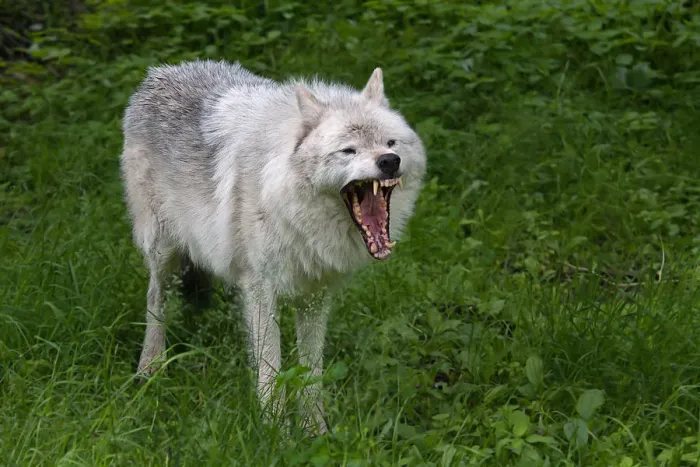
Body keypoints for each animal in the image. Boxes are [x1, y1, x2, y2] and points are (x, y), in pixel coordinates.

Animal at [120, 59, 427, 434]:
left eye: (390, 142)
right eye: (348, 150)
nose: (389, 160)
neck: (289, 204)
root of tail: (162, 72)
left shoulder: (315, 296)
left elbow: (311, 373)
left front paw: (315, 431)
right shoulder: (261, 290)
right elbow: (271, 369)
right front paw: (275, 432)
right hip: (162, 250)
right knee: (155, 301)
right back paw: (149, 368)